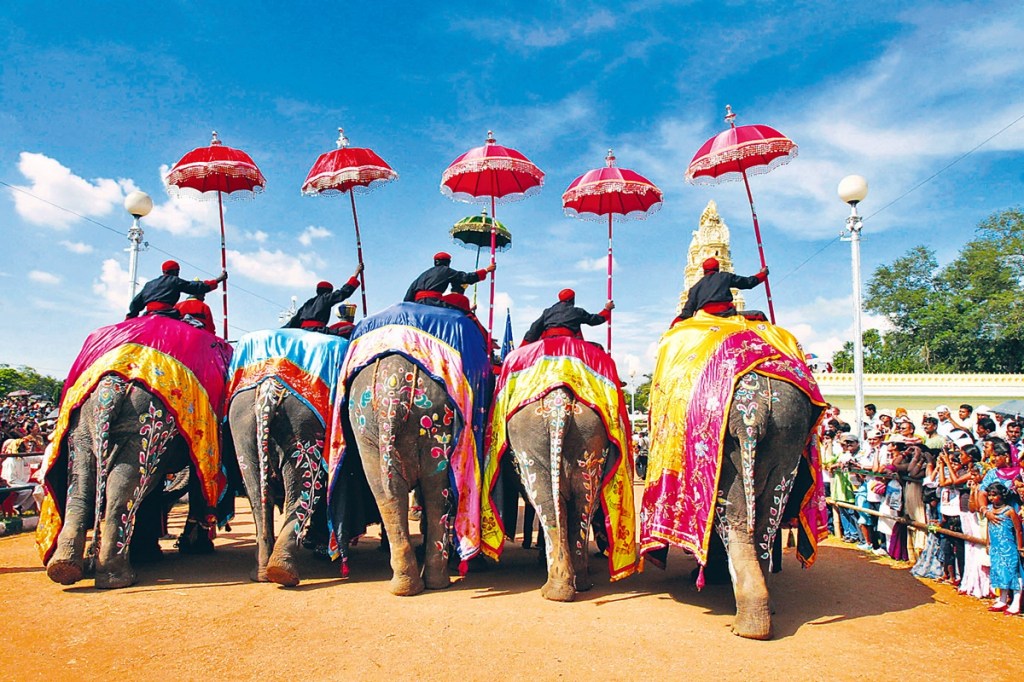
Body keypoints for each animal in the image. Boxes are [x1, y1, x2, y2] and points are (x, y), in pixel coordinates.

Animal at [37, 316, 232, 589]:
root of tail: (111, 387)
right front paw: (190, 549)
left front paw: (158, 553)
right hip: (123, 418)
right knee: (117, 483)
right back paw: (101, 573)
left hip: (91, 421)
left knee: (95, 483)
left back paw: (76, 571)